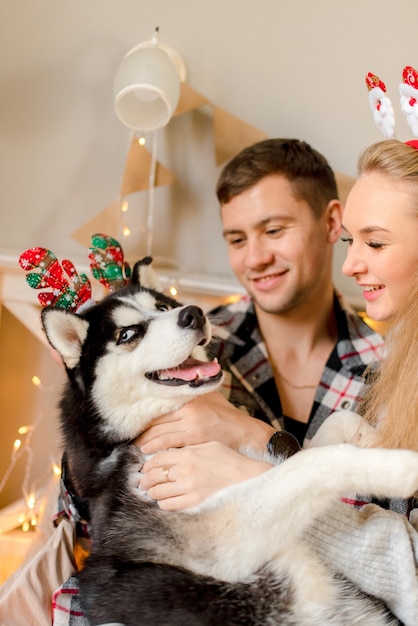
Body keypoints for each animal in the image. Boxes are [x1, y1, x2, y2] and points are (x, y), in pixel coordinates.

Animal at [41, 256, 418, 620]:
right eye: (128, 334)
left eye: (162, 307)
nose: (193, 313)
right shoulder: (225, 542)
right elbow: (316, 462)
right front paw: (400, 467)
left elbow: (335, 426)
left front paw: (380, 439)